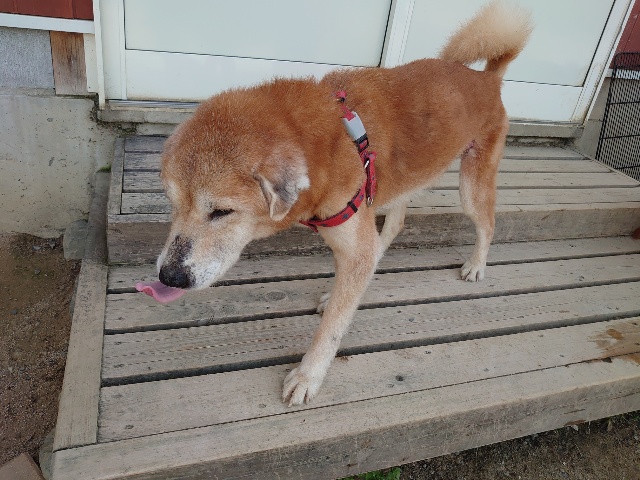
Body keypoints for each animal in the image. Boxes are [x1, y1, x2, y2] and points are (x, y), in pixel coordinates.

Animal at [155, 0, 532, 406]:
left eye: (221, 212)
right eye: (173, 205)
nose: (168, 277)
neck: (328, 145)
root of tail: (488, 78)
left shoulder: (354, 240)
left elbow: (332, 327)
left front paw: (308, 376)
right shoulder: (354, 238)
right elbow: (350, 282)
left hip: (470, 186)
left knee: (487, 225)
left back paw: (476, 265)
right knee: (394, 226)